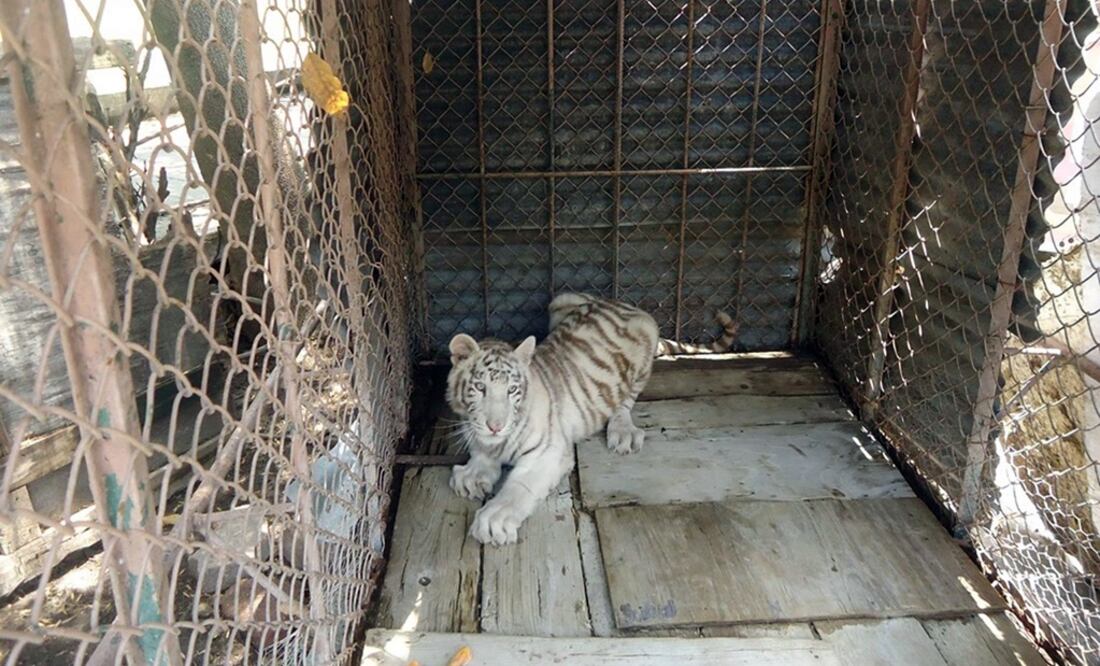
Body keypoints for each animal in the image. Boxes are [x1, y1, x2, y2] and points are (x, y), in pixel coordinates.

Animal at [446, 293, 739, 545]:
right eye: (480, 388)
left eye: (512, 390)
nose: (496, 427)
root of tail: (622, 304)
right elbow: (481, 451)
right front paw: (472, 474)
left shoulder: (548, 452)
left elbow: (518, 487)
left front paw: (494, 518)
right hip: (560, 300)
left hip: (646, 338)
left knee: (625, 401)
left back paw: (623, 432)